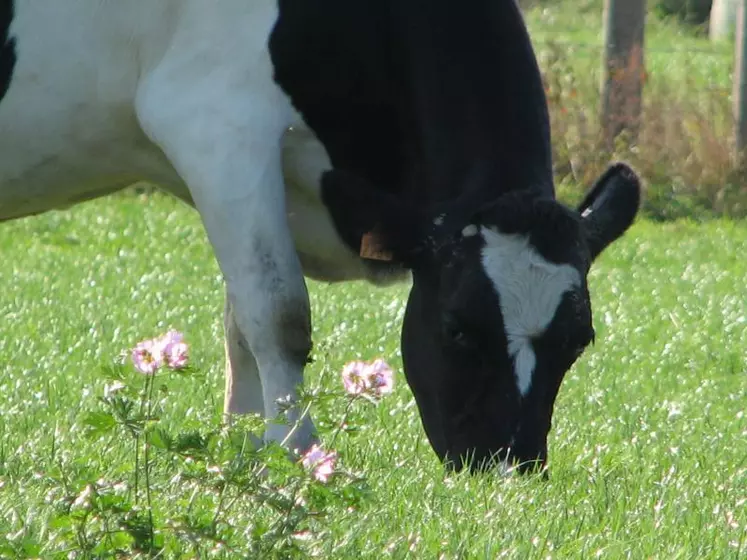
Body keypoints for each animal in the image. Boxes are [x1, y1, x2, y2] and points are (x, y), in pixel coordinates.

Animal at [1, 0, 644, 474]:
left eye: (579, 340)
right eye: (457, 328)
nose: (509, 464)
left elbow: (240, 321)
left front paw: (244, 447)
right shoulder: (215, 126)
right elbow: (278, 313)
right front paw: (298, 451)